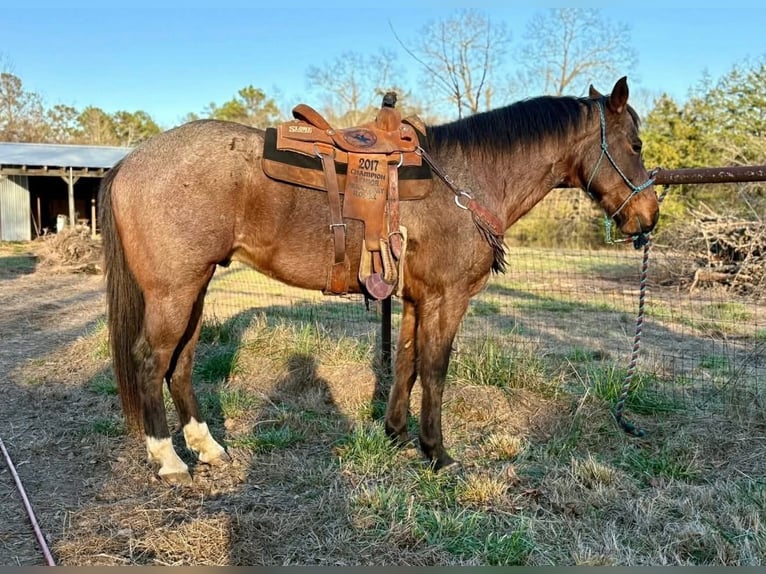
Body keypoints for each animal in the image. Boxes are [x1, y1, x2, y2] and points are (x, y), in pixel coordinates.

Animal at [99, 77, 659, 483]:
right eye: (634, 144)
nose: (648, 217)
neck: (466, 181)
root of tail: (129, 160)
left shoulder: (415, 299)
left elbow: (407, 364)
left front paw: (396, 433)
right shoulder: (448, 299)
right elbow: (434, 370)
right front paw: (437, 453)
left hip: (194, 289)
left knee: (181, 363)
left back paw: (207, 448)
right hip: (173, 293)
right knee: (151, 361)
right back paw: (169, 459)